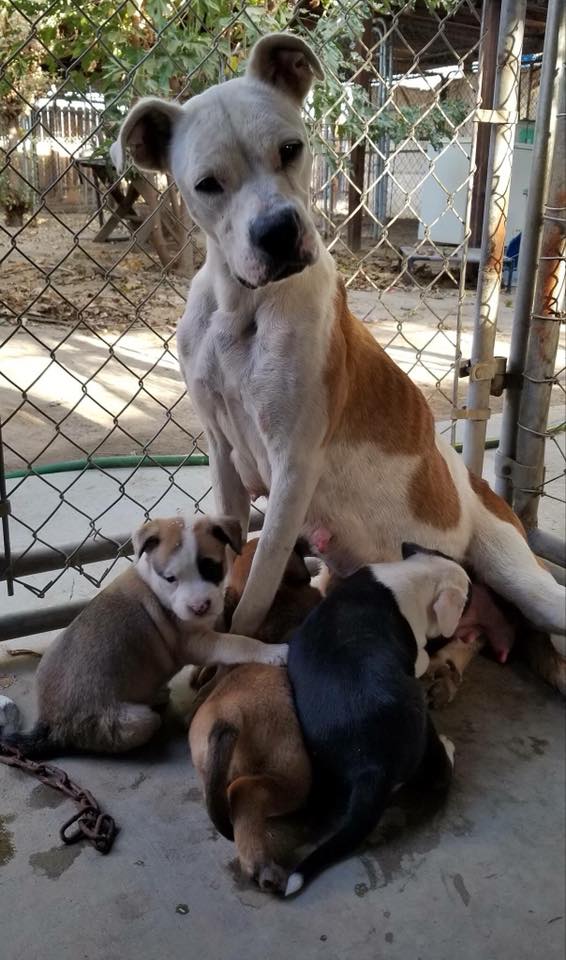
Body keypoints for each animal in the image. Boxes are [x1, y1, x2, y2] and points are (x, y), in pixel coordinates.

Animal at [1, 512, 288, 752]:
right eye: (171, 578)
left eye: (211, 568)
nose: (200, 607)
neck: (156, 585)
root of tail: (50, 723)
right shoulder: (194, 642)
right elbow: (236, 643)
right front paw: (273, 652)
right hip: (139, 721)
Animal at [112, 30, 566, 688]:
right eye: (207, 184)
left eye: (290, 149)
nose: (278, 232)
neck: (242, 308)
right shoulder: (223, 454)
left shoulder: (293, 469)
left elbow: (255, 593)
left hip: (519, 574)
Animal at [284, 544, 470, 896]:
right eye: (468, 599)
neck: (417, 573)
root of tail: (371, 763)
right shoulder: (417, 653)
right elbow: (423, 655)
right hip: (420, 718)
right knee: (441, 771)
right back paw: (449, 747)